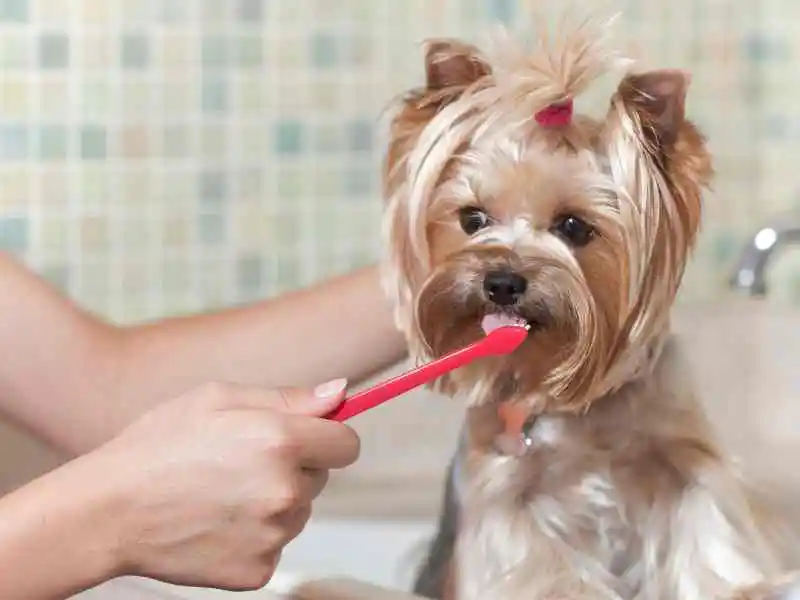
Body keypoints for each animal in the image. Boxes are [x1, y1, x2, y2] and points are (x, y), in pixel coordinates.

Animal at [380, 12, 800, 600]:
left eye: (574, 227)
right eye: (472, 219)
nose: (502, 281)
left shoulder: (684, 461)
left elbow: (707, 528)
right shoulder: (507, 495)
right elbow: (541, 567)